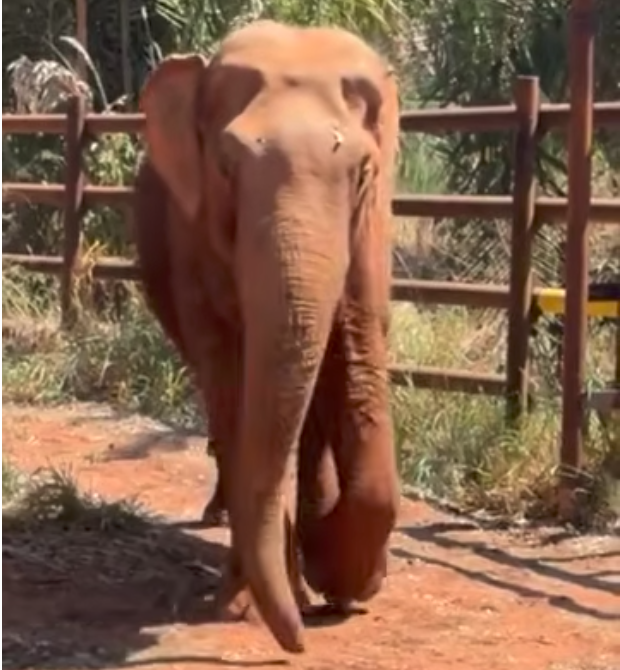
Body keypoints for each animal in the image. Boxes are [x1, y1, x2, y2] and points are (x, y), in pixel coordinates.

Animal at [132, 19, 401, 653]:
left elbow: (358, 342)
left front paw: (347, 582)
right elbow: (233, 383)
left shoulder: (371, 228)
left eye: (363, 172)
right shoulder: (192, 239)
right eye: (226, 169)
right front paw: (253, 606)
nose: (297, 643)